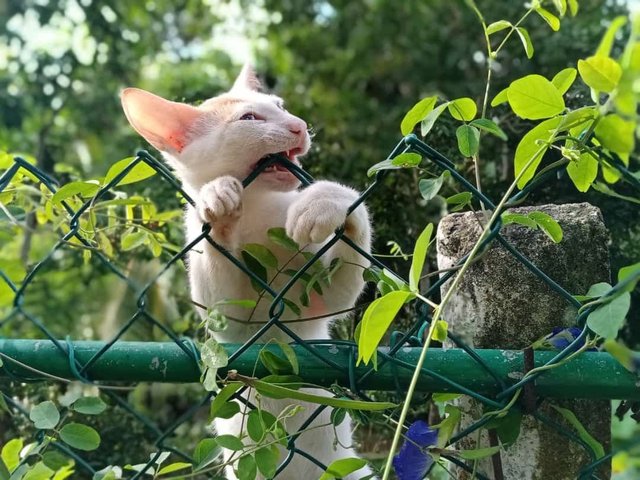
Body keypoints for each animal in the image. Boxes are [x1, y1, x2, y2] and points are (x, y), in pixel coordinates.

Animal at [119, 64, 376, 480]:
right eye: (250, 119)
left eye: (281, 107)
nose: (298, 126)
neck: (259, 209)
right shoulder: (228, 323)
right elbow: (223, 300)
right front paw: (217, 201)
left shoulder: (315, 304)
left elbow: (341, 290)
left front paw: (324, 201)